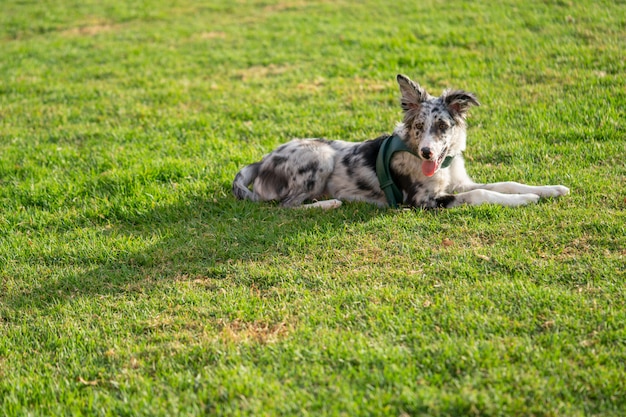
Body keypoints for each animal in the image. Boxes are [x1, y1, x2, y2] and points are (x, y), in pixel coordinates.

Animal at [232, 74, 568, 208]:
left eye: (443, 126)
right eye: (419, 126)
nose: (427, 152)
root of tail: (262, 161)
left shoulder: (457, 183)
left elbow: (505, 183)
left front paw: (550, 189)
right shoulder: (422, 200)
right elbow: (482, 194)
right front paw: (525, 200)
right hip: (320, 156)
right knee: (284, 206)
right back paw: (329, 203)